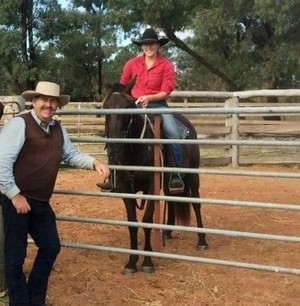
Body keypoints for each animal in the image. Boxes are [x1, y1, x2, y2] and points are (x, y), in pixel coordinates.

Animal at [102, 77, 207, 274]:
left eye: (127, 108)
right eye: (105, 108)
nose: (114, 147)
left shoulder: (151, 187)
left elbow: (147, 220)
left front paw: (147, 261)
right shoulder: (126, 189)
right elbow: (132, 223)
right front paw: (131, 262)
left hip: (192, 176)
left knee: (196, 203)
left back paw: (202, 240)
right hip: (168, 181)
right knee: (171, 200)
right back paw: (167, 231)